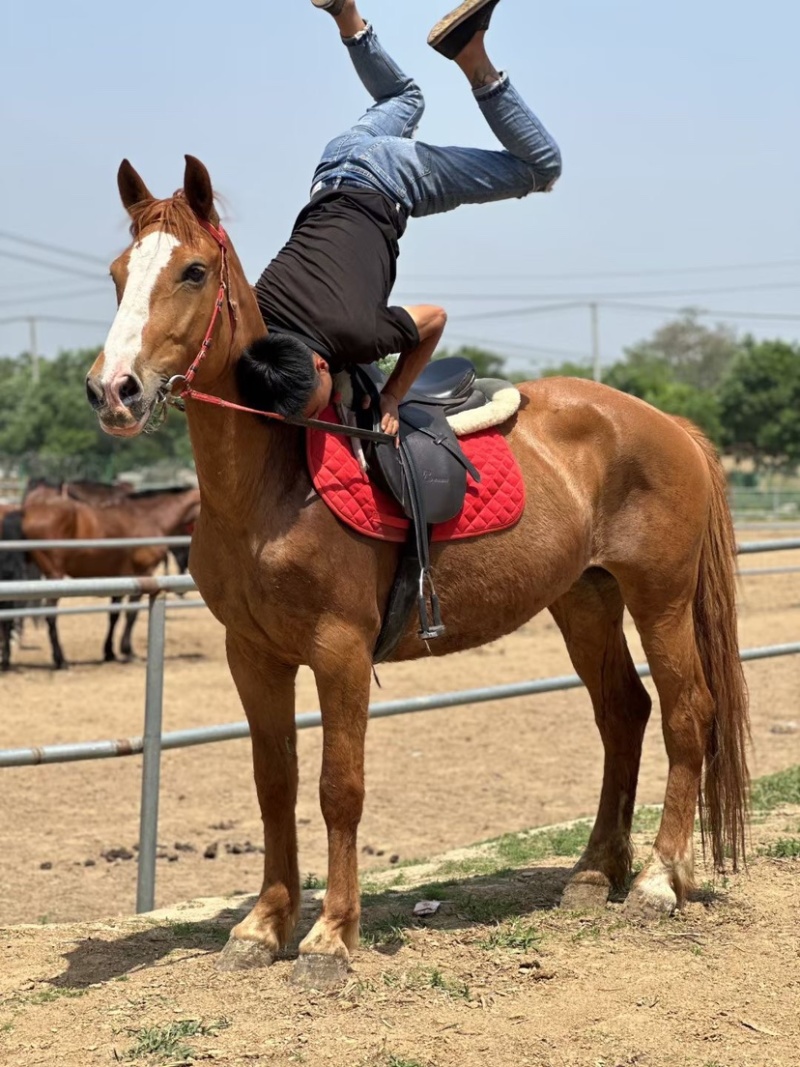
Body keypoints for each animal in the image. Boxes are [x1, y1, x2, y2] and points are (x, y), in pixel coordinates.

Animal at [0, 487, 200, 667]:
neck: (149, 517)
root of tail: (25, 511)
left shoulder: (120, 579)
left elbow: (114, 615)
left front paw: (109, 652)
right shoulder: (143, 574)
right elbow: (131, 615)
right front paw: (128, 651)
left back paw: (7, 660)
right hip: (53, 577)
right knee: (49, 616)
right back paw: (60, 660)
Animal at [85, 157, 749, 987]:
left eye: (193, 271)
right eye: (118, 274)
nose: (113, 389)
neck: (274, 481)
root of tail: (669, 425)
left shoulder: (339, 651)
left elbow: (339, 789)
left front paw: (331, 937)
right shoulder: (253, 655)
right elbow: (275, 785)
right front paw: (263, 926)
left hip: (658, 597)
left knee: (687, 712)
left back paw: (660, 879)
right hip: (585, 599)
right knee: (622, 713)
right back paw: (596, 871)